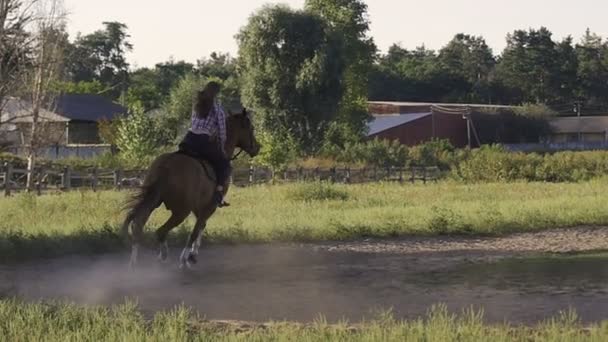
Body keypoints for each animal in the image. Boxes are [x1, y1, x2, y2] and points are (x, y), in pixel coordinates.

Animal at [120, 108, 258, 268]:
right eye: (251, 128)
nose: (257, 147)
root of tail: (166, 166)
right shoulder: (209, 206)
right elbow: (196, 229)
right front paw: (187, 257)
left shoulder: (200, 207)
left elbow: (201, 226)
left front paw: (193, 254)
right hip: (181, 212)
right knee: (160, 232)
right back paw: (166, 256)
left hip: (152, 202)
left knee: (138, 227)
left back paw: (134, 263)